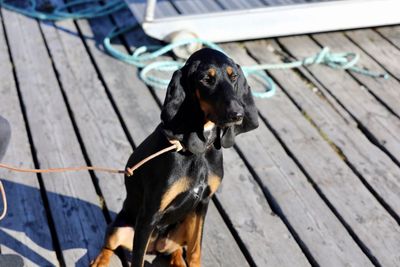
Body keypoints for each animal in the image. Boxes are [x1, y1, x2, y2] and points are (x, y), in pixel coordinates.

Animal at [91, 48, 260, 267]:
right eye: (206, 79)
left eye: (233, 77)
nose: (237, 114)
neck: (199, 152)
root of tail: (155, 245)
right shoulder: (149, 215)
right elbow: (137, 260)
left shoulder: (202, 203)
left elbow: (196, 249)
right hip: (120, 228)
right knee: (109, 244)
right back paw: (99, 261)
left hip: (183, 225)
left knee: (177, 249)